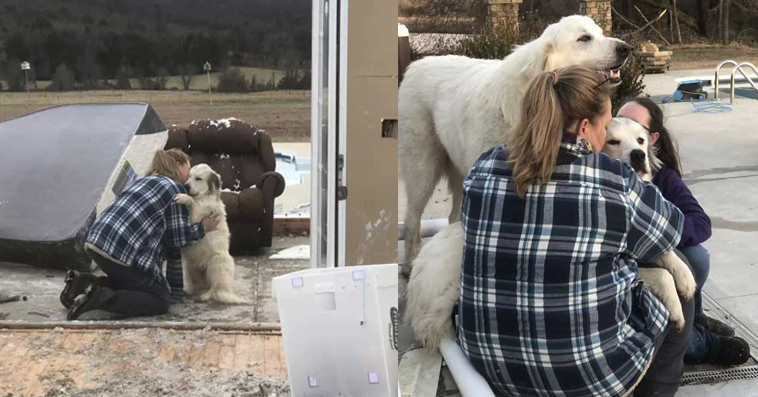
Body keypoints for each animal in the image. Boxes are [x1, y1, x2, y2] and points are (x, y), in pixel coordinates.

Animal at [174, 163, 248, 304]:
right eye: (189, 176)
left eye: (198, 179)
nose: (186, 186)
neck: (203, 197)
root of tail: (227, 290)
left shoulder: (198, 217)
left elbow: (193, 203)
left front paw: (185, 198)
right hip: (187, 263)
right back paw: (189, 289)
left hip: (216, 262)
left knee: (214, 287)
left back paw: (206, 296)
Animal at [400, 16, 632, 276]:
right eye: (584, 38)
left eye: (599, 33)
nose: (625, 48)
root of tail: (416, 64)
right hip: (423, 167)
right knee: (412, 217)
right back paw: (409, 264)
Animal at [406, 118, 696, 350]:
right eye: (613, 141)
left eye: (640, 140)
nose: (638, 155)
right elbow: (661, 272)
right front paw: (677, 306)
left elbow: (667, 253)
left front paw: (685, 278)